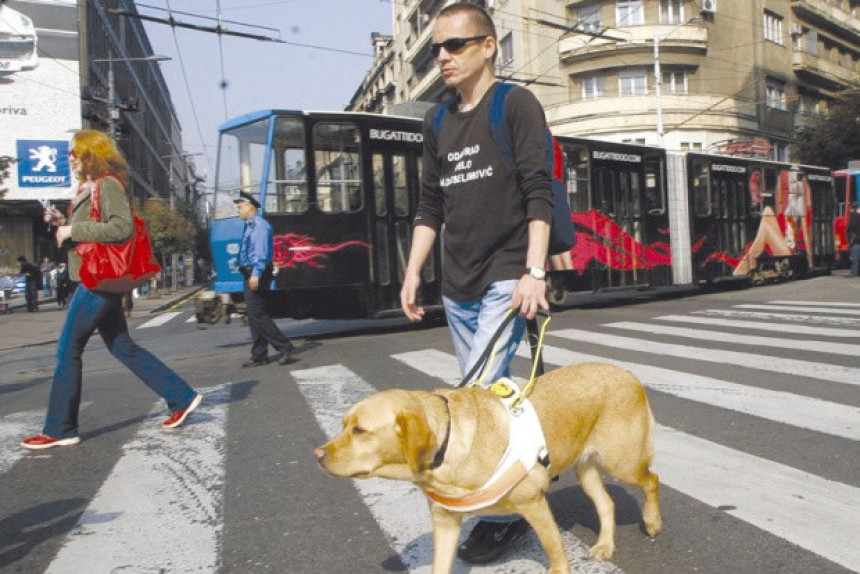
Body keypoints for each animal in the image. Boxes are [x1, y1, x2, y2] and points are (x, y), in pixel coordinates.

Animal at [312, 364, 660, 574]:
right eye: (343, 425)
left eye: (359, 430)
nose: (317, 454)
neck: (449, 444)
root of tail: (627, 373)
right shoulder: (445, 521)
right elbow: (439, 565)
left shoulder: (533, 503)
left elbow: (555, 549)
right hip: (586, 469)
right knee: (607, 503)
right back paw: (605, 545)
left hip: (623, 461)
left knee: (651, 480)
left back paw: (652, 522)